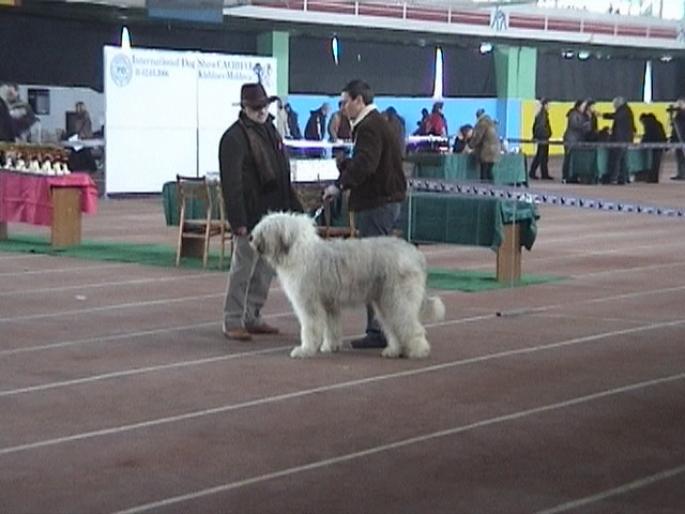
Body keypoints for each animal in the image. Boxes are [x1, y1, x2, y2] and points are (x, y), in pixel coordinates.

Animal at [250, 210, 444, 358]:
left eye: (265, 229)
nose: (251, 237)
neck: (297, 252)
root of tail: (414, 254)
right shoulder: (329, 304)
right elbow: (332, 327)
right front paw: (330, 346)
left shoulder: (309, 303)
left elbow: (310, 327)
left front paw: (304, 350)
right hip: (386, 301)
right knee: (394, 326)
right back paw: (394, 351)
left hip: (399, 298)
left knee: (410, 325)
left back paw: (418, 350)